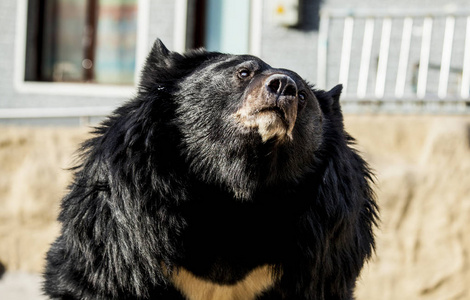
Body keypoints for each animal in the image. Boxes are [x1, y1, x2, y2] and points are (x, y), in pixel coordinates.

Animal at [42, 39, 376, 300]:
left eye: (303, 95)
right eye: (243, 72)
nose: (283, 86)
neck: (237, 189)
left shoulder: (320, 247)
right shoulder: (127, 227)